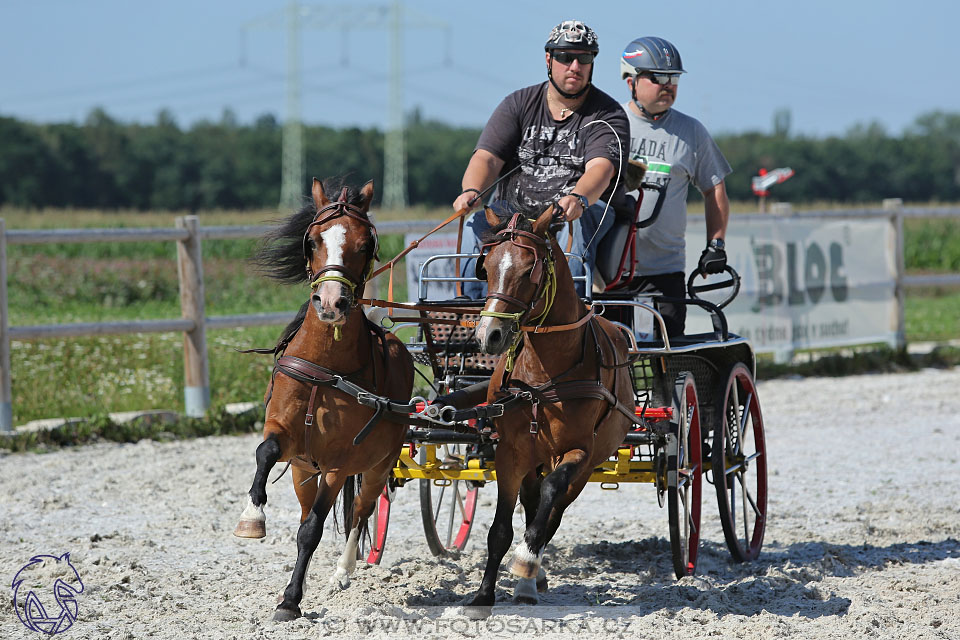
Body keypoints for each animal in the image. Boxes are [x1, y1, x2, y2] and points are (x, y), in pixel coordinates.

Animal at [235, 178, 412, 624]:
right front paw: (252, 517)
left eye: (366, 244)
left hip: (378, 467)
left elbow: (313, 530)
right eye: (312, 240)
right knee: (308, 508)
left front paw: (290, 600)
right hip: (303, 471)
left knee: (361, 511)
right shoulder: (287, 439)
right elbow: (265, 452)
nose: (331, 303)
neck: (325, 367)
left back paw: (343, 571)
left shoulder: (338, 464)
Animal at [466, 204, 636, 616]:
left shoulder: (579, 452)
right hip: (533, 455)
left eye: (530, 269)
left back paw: (531, 572)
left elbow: (550, 499)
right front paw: (483, 595)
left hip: (585, 465)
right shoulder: (510, 452)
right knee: (532, 501)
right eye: (487, 266)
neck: (544, 377)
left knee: (550, 511)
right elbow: (500, 530)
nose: (488, 336)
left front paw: (527, 561)